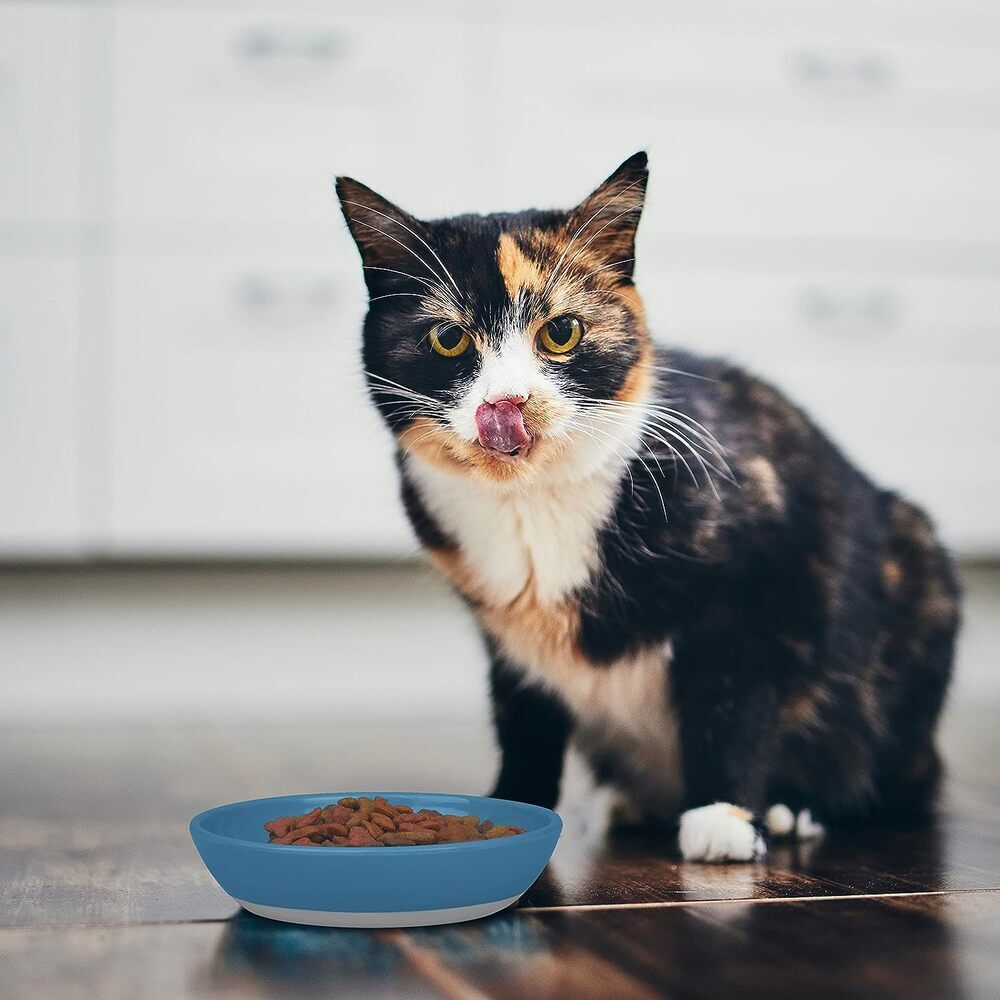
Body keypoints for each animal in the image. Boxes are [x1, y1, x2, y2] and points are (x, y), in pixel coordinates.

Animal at [338, 152, 960, 864]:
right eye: (447, 339)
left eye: (561, 332)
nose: (507, 403)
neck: (533, 503)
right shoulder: (508, 637)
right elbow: (523, 718)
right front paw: (512, 805)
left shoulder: (757, 582)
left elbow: (731, 699)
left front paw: (722, 817)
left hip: (913, 574)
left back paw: (792, 808)